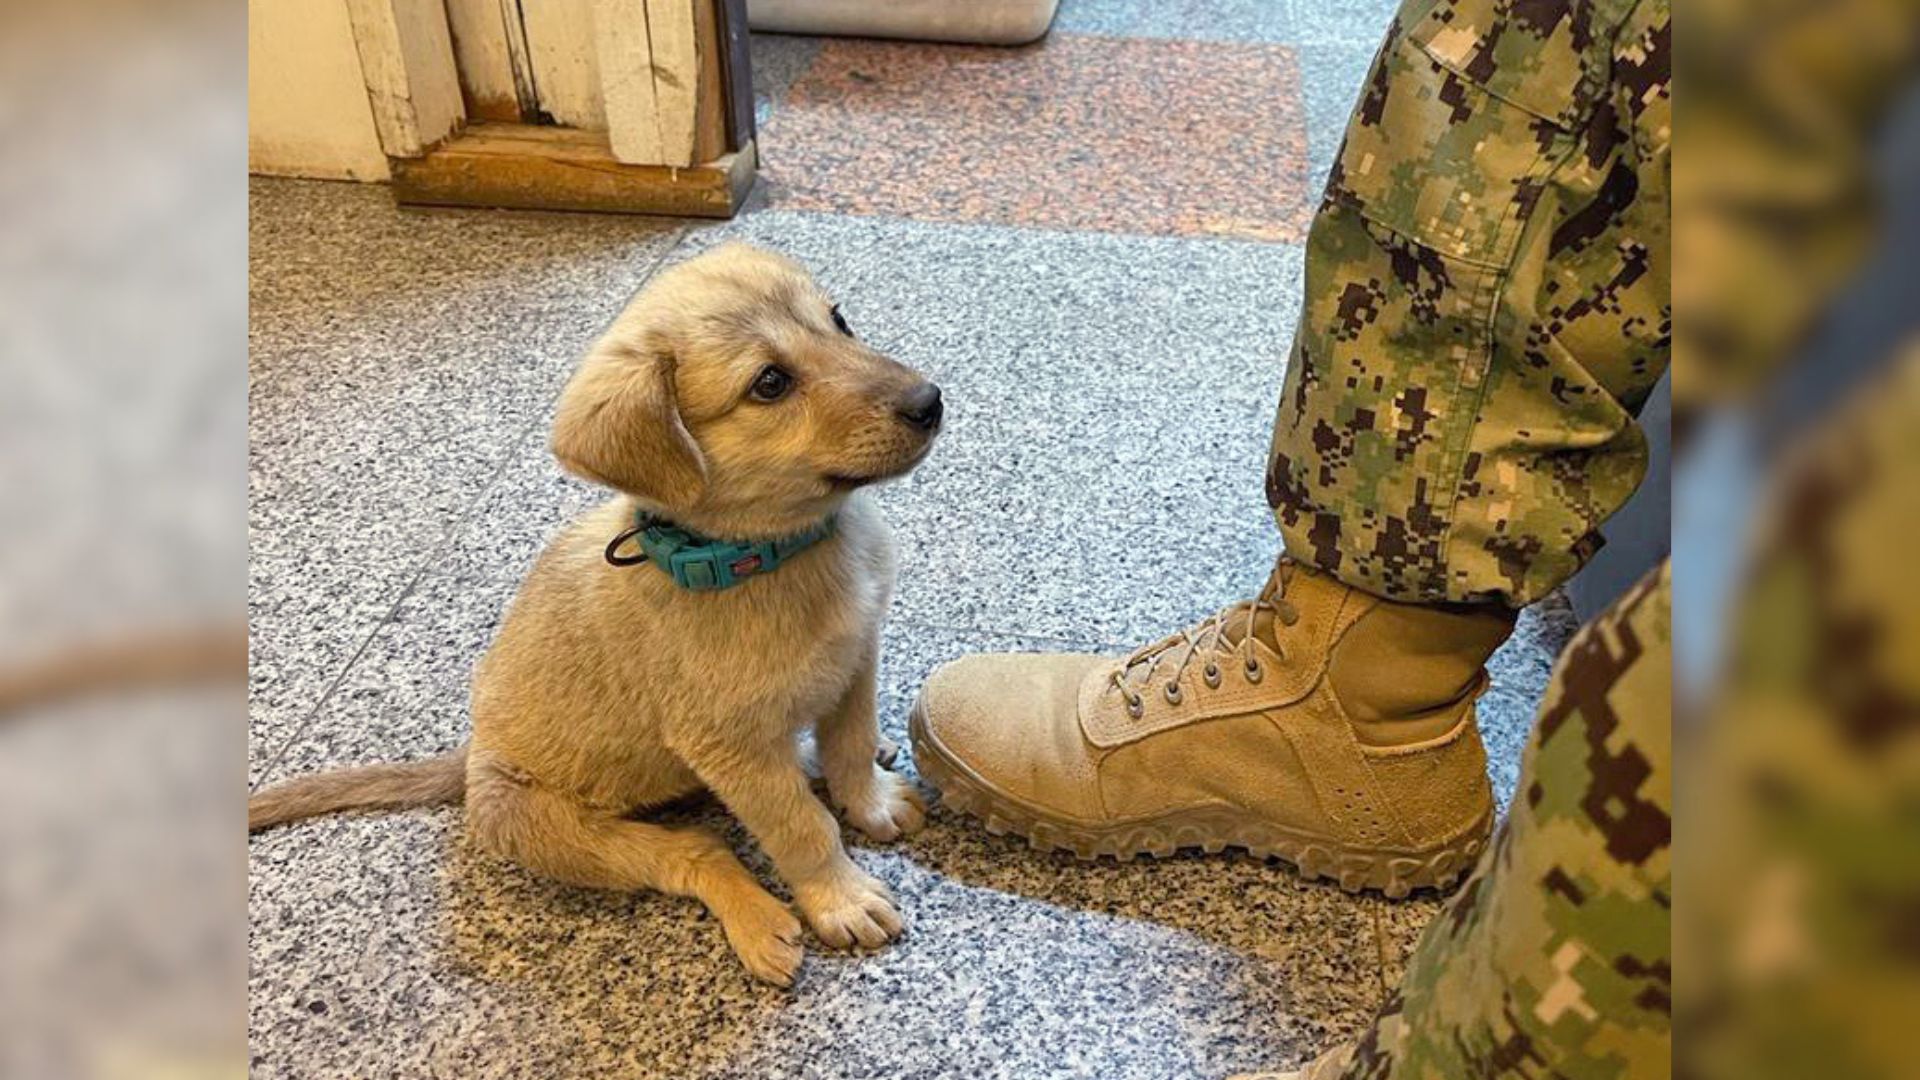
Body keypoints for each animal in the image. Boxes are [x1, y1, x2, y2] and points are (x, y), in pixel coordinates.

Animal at [251, 245, 940, 983]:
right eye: (770, 383)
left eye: (838, 320)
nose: (930, 401)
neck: (773, 556)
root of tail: (473, 753)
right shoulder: (730, 746)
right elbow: (801, 826)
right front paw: (840, 897)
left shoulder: (855, 660)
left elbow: (848, 747)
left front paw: (868, 799)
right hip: (540, 822)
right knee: (698, 850)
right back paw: (756, 921)